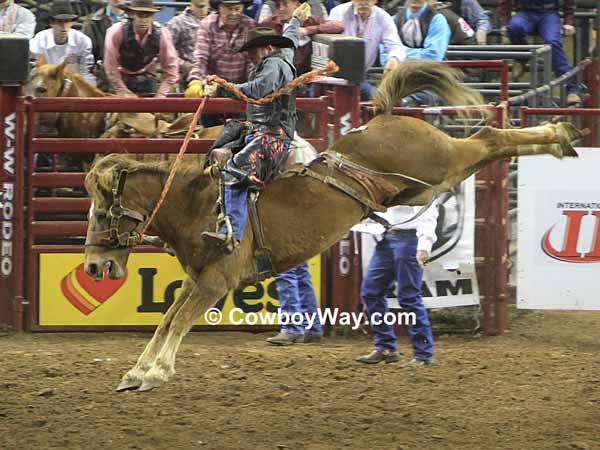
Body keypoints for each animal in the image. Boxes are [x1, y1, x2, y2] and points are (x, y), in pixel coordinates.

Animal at [82, 59, 580, 390]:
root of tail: (382, 117)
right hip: (428, 182)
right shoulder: (197, 277)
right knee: (490, 145)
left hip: (443, 163)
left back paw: (560, 135)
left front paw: (155, 372)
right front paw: (137, 370)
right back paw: (560, 140)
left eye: (102, 212)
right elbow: (167, 318)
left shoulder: (216, 279)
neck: (197, 203)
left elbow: (180, 320)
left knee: (490, 137)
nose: (91, 268)